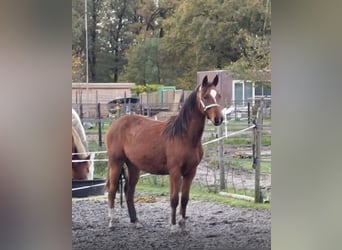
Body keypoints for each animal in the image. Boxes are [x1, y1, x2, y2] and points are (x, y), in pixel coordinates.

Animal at [107, 74, 223, 232]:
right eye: (205, 97)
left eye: (218, 95)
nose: (219, 119)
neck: (184, 136)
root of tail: (115, 124)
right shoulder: (174, 172)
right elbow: (174, 198)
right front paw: (173, 226)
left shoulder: (191, 172)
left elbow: (184, 199)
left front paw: (182, 224)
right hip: (116, 163)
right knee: (112, 190)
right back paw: (112, 222)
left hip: (134, 166)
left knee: (129, 191)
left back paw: (135, 221)